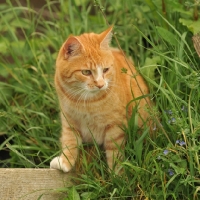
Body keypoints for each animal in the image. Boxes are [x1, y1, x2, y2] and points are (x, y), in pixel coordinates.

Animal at [50, 26, 152, 173]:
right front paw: (65, 161)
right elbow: (70, 141)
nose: (100, 84)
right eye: (86, 72)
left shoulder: (115, 126)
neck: (85, 101)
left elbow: (114, 152)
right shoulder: (69, 120)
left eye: (105, 70)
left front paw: (116, 174)